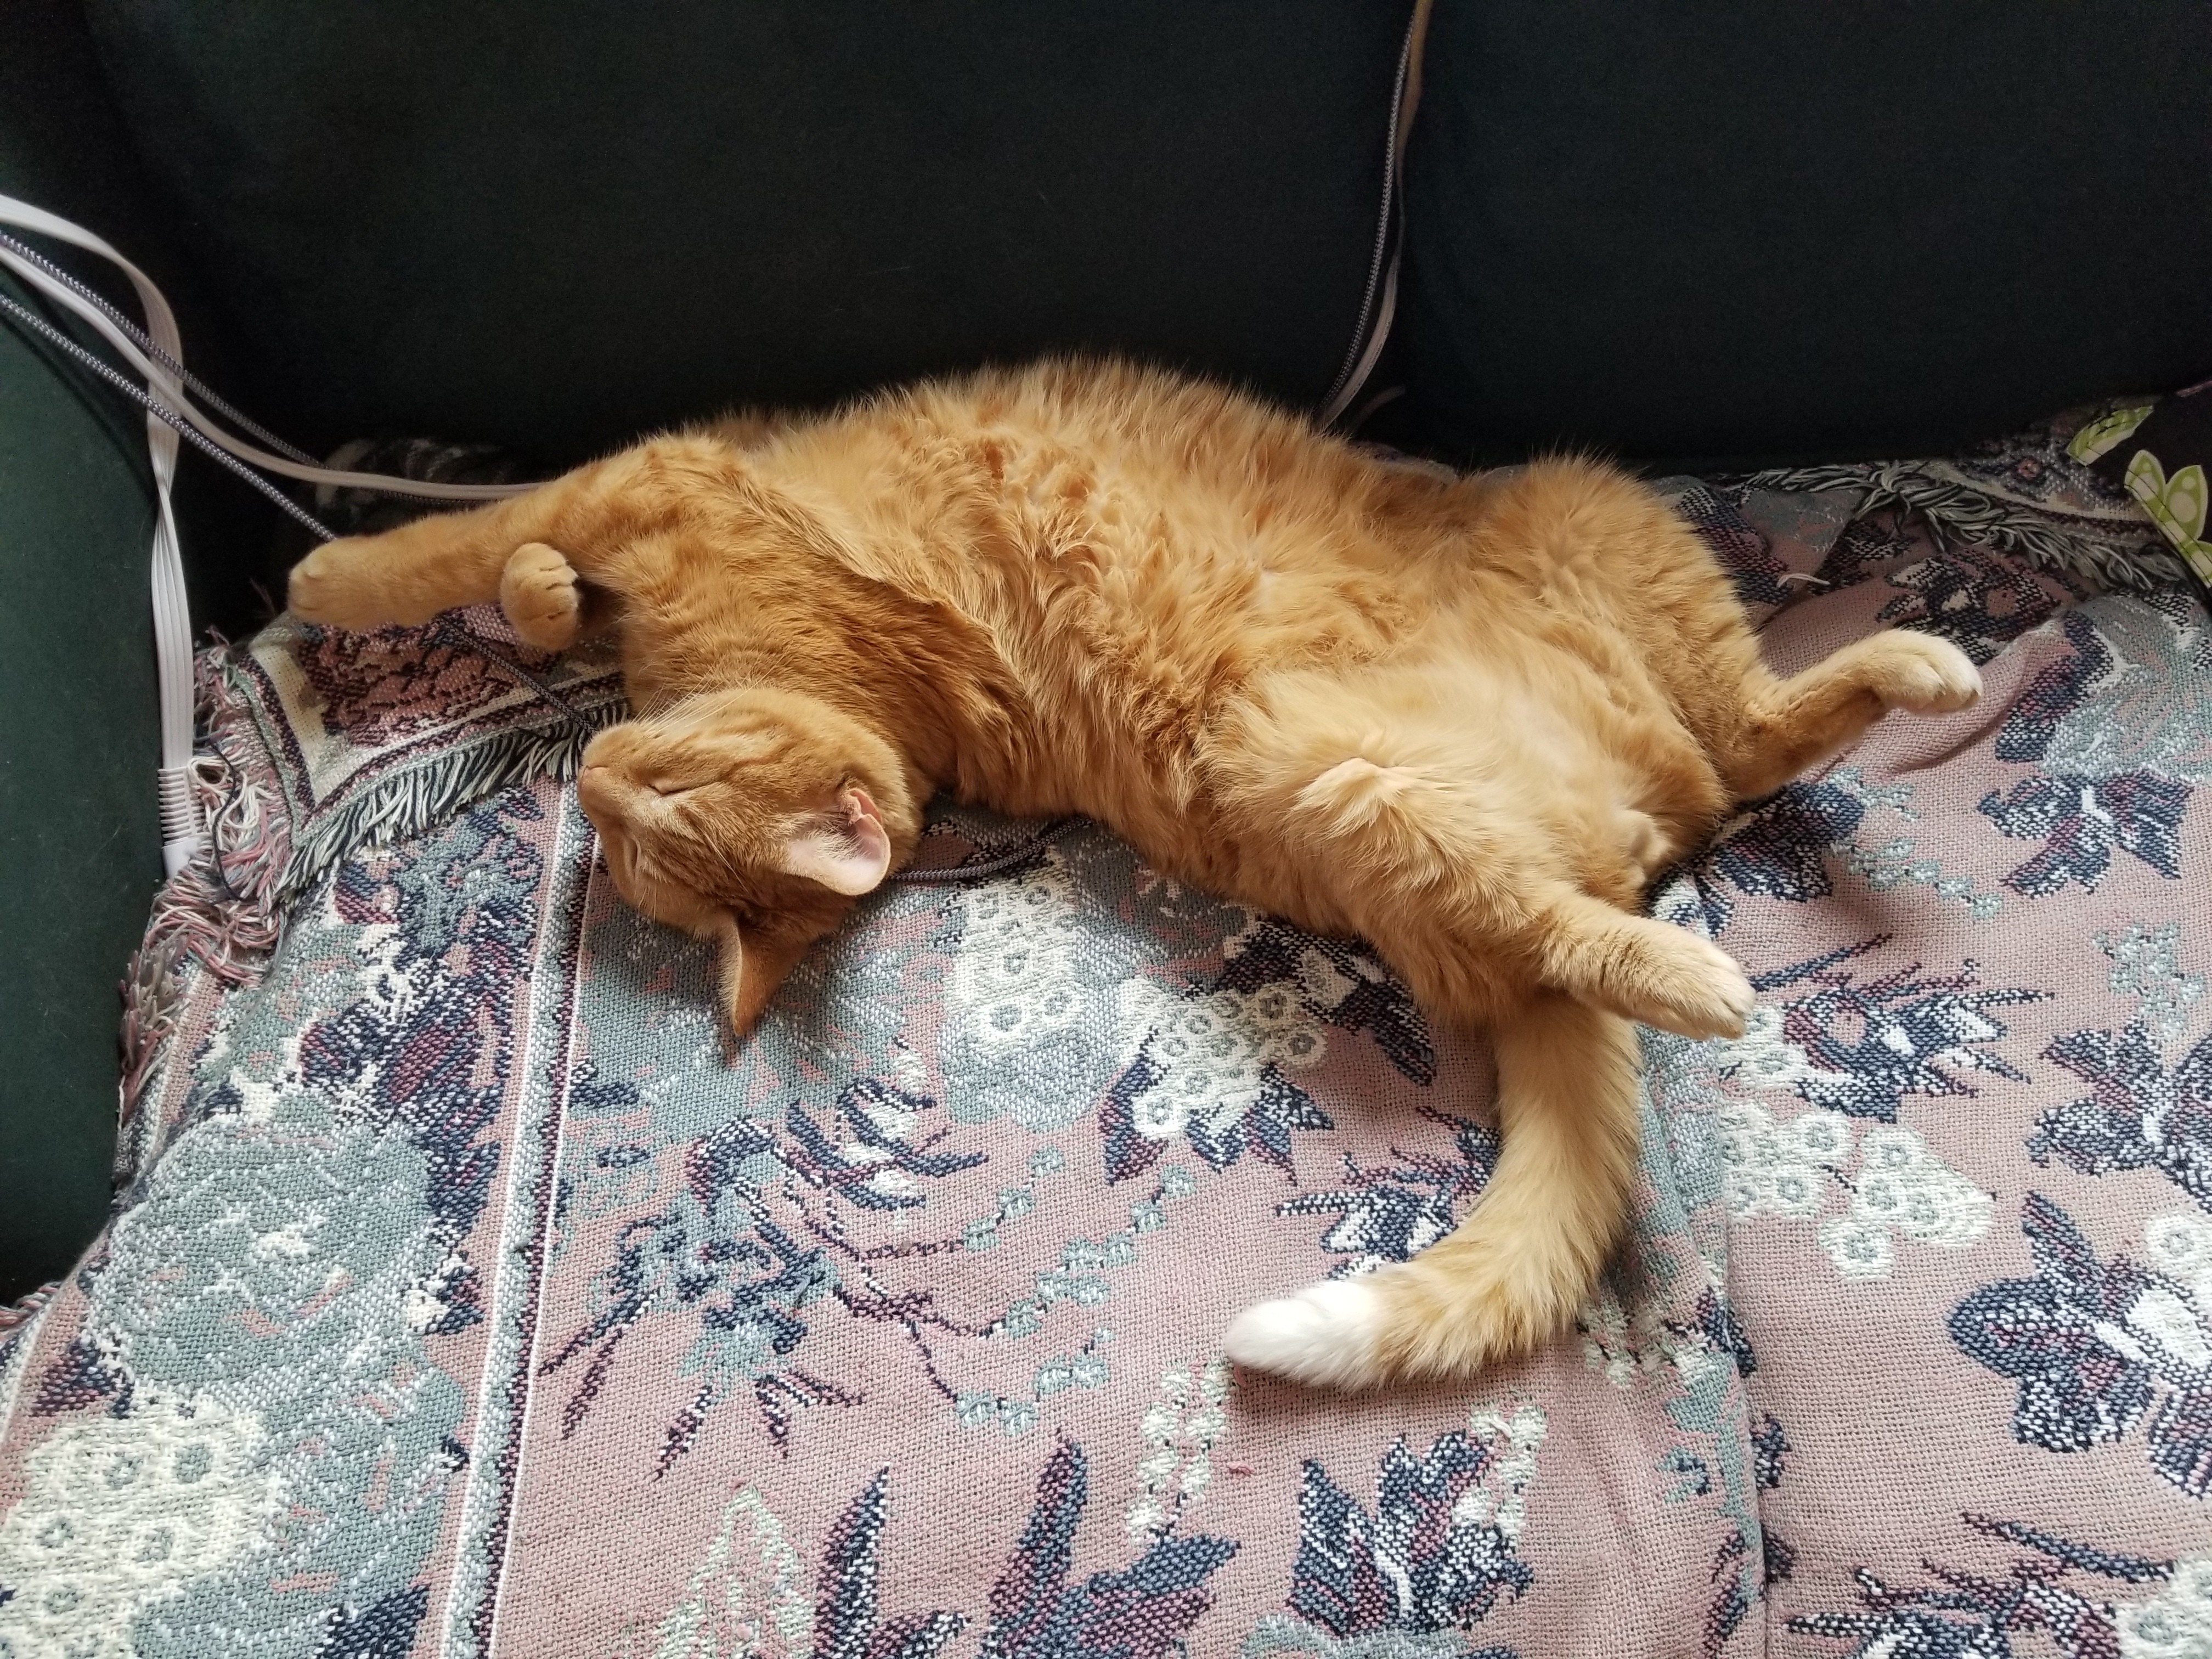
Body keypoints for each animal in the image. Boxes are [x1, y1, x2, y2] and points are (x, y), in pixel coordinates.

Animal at [285, 360, 1982, 1389]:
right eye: (637, 844)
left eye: (669, 797)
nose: (591, 780)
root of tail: (1620, 818)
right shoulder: (637, 500)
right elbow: (512, 568)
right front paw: (486, 598)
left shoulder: (642, 479)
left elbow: (473, 545)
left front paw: (335, 568)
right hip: (1319, 773)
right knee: (1657, 841)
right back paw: (1704, 948)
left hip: (1588, 512)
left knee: (1745, 743)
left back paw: (1909, 679)